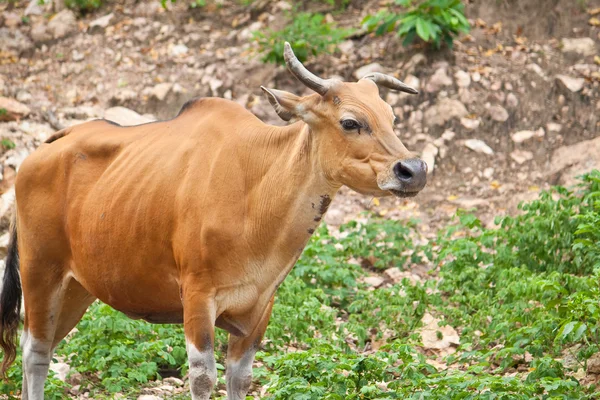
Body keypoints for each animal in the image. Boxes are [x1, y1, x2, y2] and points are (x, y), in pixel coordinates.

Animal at [0, 42, 426, 398]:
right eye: (350, 122)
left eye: (391, 117)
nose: (414, 169)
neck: (255, 194)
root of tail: (40, 152)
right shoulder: (197, 297)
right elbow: (203, 378)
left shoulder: (259, 308)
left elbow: (240, 378)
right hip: (40, 272)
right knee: (35, 353)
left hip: (77, 289)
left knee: (42, 348)